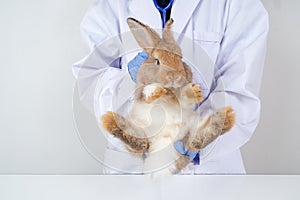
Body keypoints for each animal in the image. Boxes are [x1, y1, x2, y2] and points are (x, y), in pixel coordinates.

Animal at [101, 18, 234, 175]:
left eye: (180, 59)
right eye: (157, 61)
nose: (174, 77)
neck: (169, 92)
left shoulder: (181, 101)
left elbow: (184, 96)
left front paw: (194, 91)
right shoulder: (140, 91)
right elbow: (146, 92)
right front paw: (155, 92)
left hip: (190, 129)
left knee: (196, 140)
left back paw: (225, 119)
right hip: (141, 133)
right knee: (140, 144)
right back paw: (111, 122)